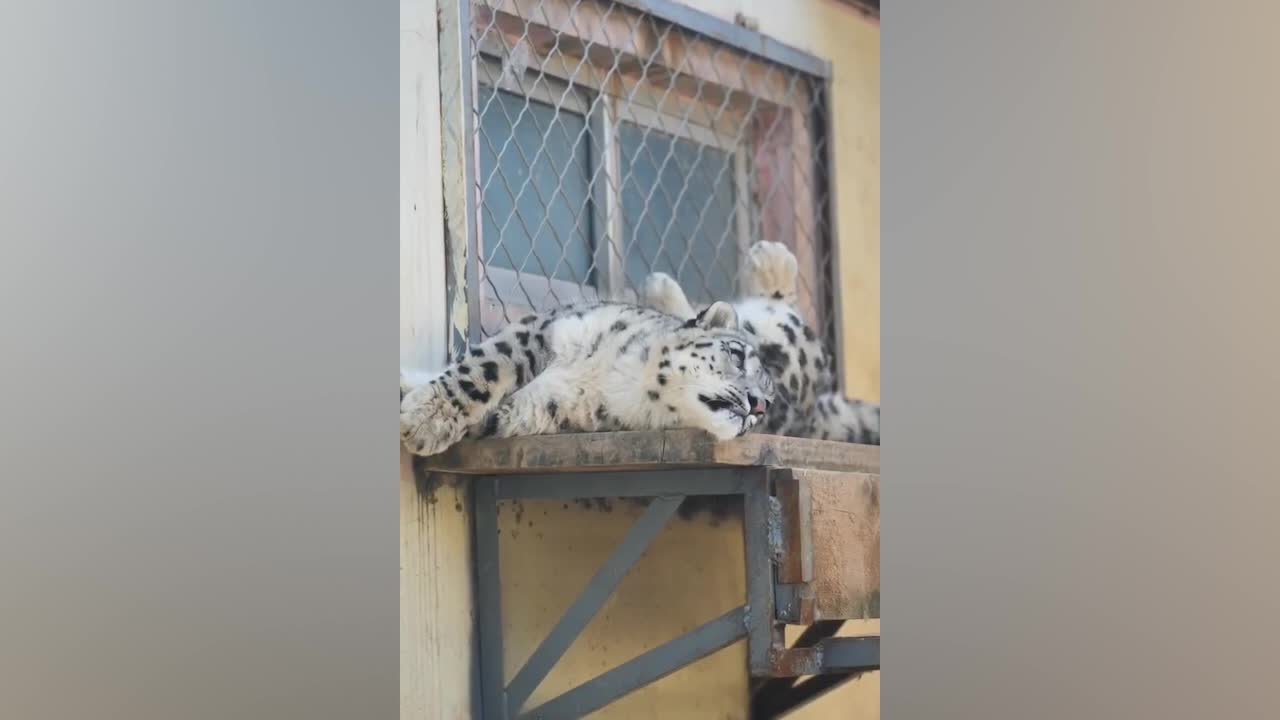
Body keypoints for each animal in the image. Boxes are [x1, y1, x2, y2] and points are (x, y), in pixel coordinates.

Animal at [404, 301, 773, 453]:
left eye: (769, 404)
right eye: (737, 355)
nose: (757, 406)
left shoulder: (533, 411)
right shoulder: (541, 331)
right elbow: (485, 370)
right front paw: (423, 421)